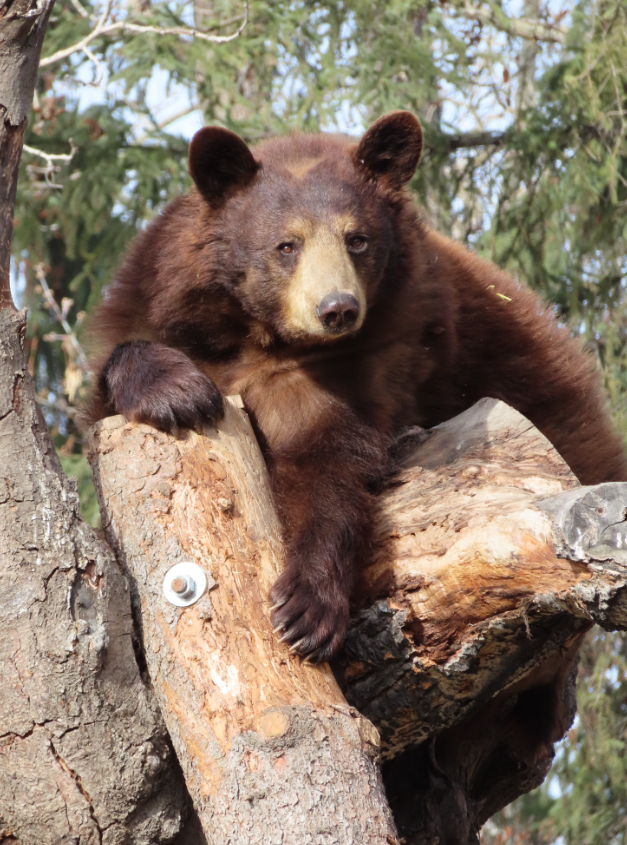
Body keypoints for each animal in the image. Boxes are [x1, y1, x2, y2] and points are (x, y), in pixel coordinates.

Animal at [86, 112, 627, 664]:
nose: (337, 308)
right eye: (287, 244)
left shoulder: (360, 364)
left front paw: (305, 609)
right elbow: (119, 371)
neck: (261, 337)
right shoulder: (162, 305)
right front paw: (179, 393)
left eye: (357, 239)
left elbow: (327, 458)